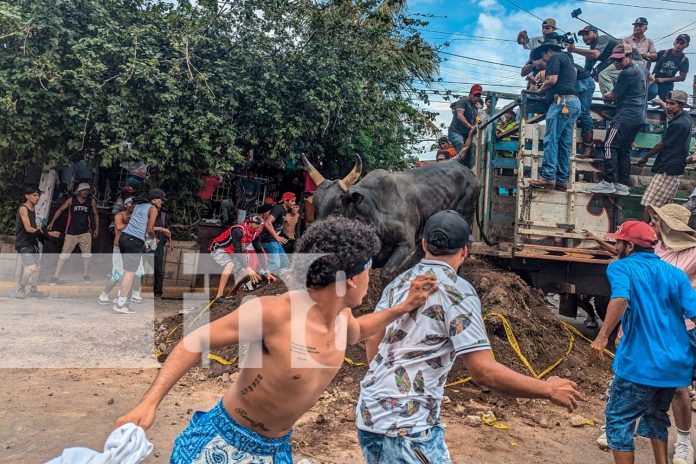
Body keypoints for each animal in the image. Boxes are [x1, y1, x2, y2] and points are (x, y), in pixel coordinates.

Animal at [302, 154, 482, 278]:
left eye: (338, 206)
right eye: (315, 205)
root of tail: (471, 173)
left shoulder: (405, 244)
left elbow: (386, 275)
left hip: (465, 217)